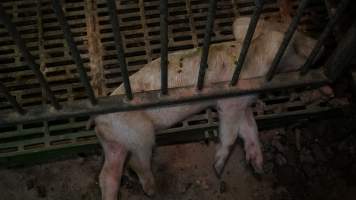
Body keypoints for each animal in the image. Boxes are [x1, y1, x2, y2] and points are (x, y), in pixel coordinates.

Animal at [91, 16, 320, 199]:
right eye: (298, 45)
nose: (319, 46)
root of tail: (99, 120)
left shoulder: (242, 104)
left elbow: (249, 128)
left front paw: (257, 167)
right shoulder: (230, 102)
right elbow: (230, 133)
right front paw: (217, 168)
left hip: (115, 142)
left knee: (108, 175)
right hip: (140, 134)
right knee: (136, 162)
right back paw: (152, 189)